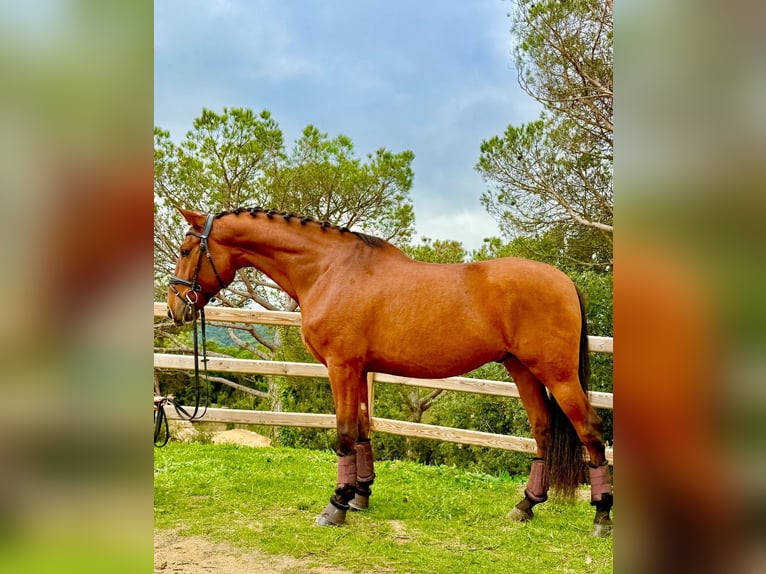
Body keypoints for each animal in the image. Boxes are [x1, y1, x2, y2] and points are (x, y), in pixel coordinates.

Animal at [165, 207, 613, 536]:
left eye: (187, 250)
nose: (174, 308)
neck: (329, 269)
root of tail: (564, 280)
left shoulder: (342, 367)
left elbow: (345, 432)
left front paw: (336, 504)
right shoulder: (359, 370)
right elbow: (364, 430)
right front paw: (360, 495)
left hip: (557, 374)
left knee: (590, 430)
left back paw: (601, 516)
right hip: (522, 369)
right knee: (543, 430)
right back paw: (525, 505)